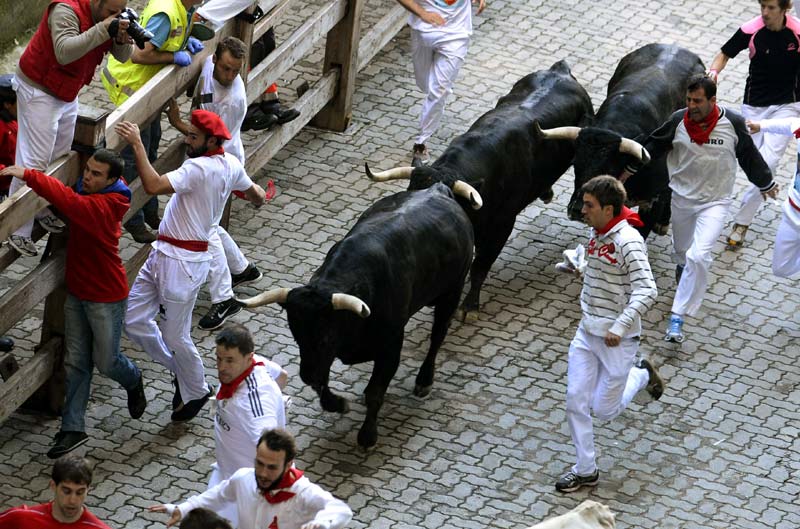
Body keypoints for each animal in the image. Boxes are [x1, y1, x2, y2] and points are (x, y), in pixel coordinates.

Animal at [239, 182, 480, 448]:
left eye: (324, 337)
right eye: (296, 335)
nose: (305, 376)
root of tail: (439, 189)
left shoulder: (390, 346)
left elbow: (375, 392)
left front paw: (368, 435)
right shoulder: (323, 357)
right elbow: (324, 385)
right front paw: (338, 403)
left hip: (452, 291)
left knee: (438, 334)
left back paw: (424, 380)